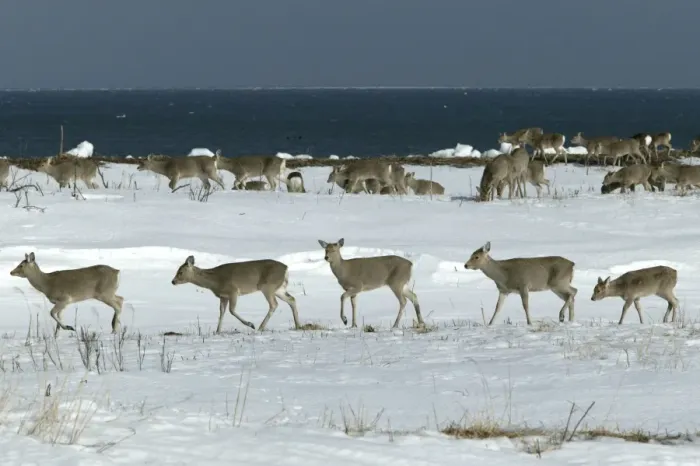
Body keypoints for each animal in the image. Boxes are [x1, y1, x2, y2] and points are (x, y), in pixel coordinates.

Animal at [171, 255, 301, 333]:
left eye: (180, 272)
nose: (173, 281)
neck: (214, 281)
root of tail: (286, 269)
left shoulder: (232, 291)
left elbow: (231, 310)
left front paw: (250, 324)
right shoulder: (223, 296)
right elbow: (222, 312)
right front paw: (217, 331)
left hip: (267, 286)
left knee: (274, 304)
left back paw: (260, 327)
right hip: (279, 289)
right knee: (292, 299)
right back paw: (298, 326)